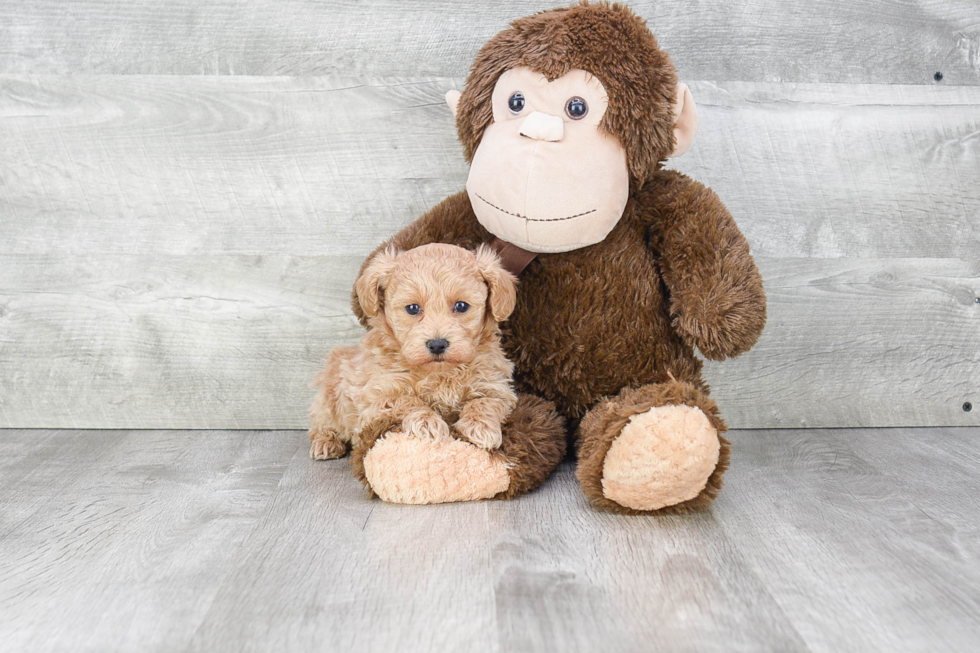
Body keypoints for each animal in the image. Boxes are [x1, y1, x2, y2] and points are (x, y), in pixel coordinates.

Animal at [310, 242, 516, 460]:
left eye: (461, 306)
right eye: (412, 308)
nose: (437, 344)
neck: (439, 373)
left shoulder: (496, 386)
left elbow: (486, 401)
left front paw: (480, 427)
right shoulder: (374, 399)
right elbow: (405, 400)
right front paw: (428, 422)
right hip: (330, 397)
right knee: (322, 423)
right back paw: (326, 442)